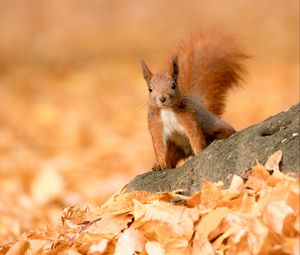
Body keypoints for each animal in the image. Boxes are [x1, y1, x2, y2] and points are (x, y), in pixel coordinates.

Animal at [142, 30, 247, 170]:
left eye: (173, 85)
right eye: (150, 89)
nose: (162, 98)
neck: (167, 110)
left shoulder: (189, 118)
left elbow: (195, 135)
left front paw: (199, 153)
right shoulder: (155, 124)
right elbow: (158, 145)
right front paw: (159, 164)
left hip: (216, 128)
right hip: (174, 147)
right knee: (171, 158)